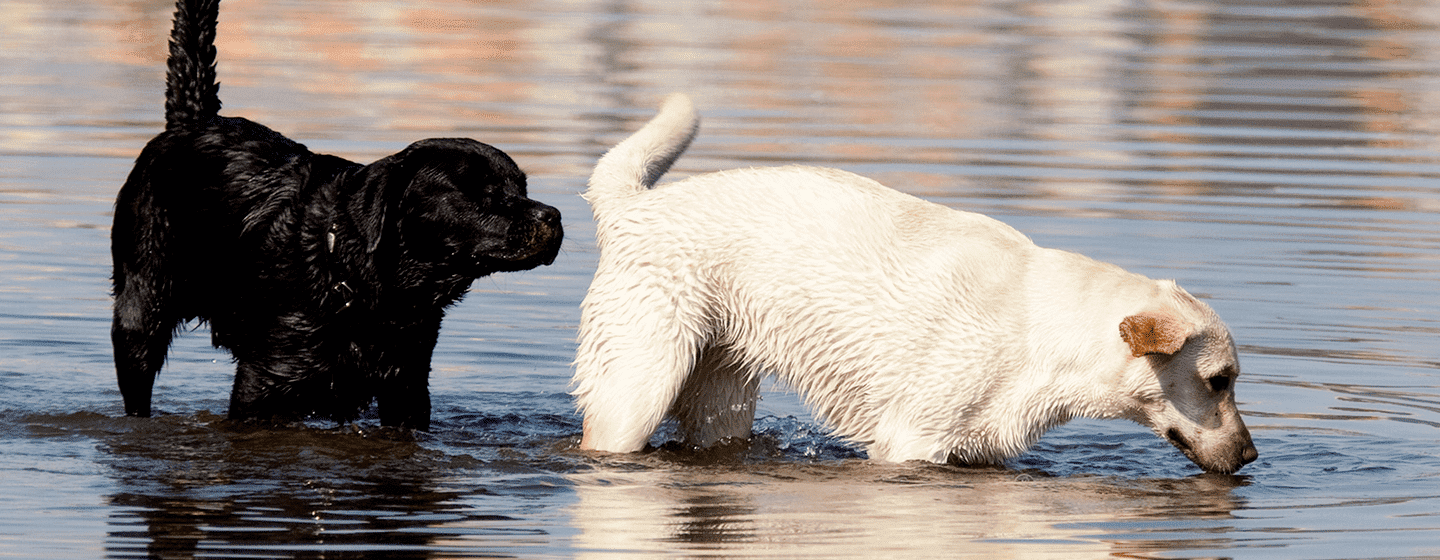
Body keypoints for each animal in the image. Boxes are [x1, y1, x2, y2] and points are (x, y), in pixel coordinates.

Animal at [110, 0, 561, 428]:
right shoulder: (263, 383)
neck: (364, 281)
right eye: (478, 191)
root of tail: (193, 122)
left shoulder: (407, 384)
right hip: (141, 309)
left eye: (521, 188)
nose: (553, 215)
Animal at [573, 95, 1261, 472]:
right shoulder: (910, 441)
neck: (1047, 337)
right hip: (638, 386)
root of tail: (633, 207)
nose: (1253, 456)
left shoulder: (982, 445)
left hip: (722, 397)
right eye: (1216, 380)